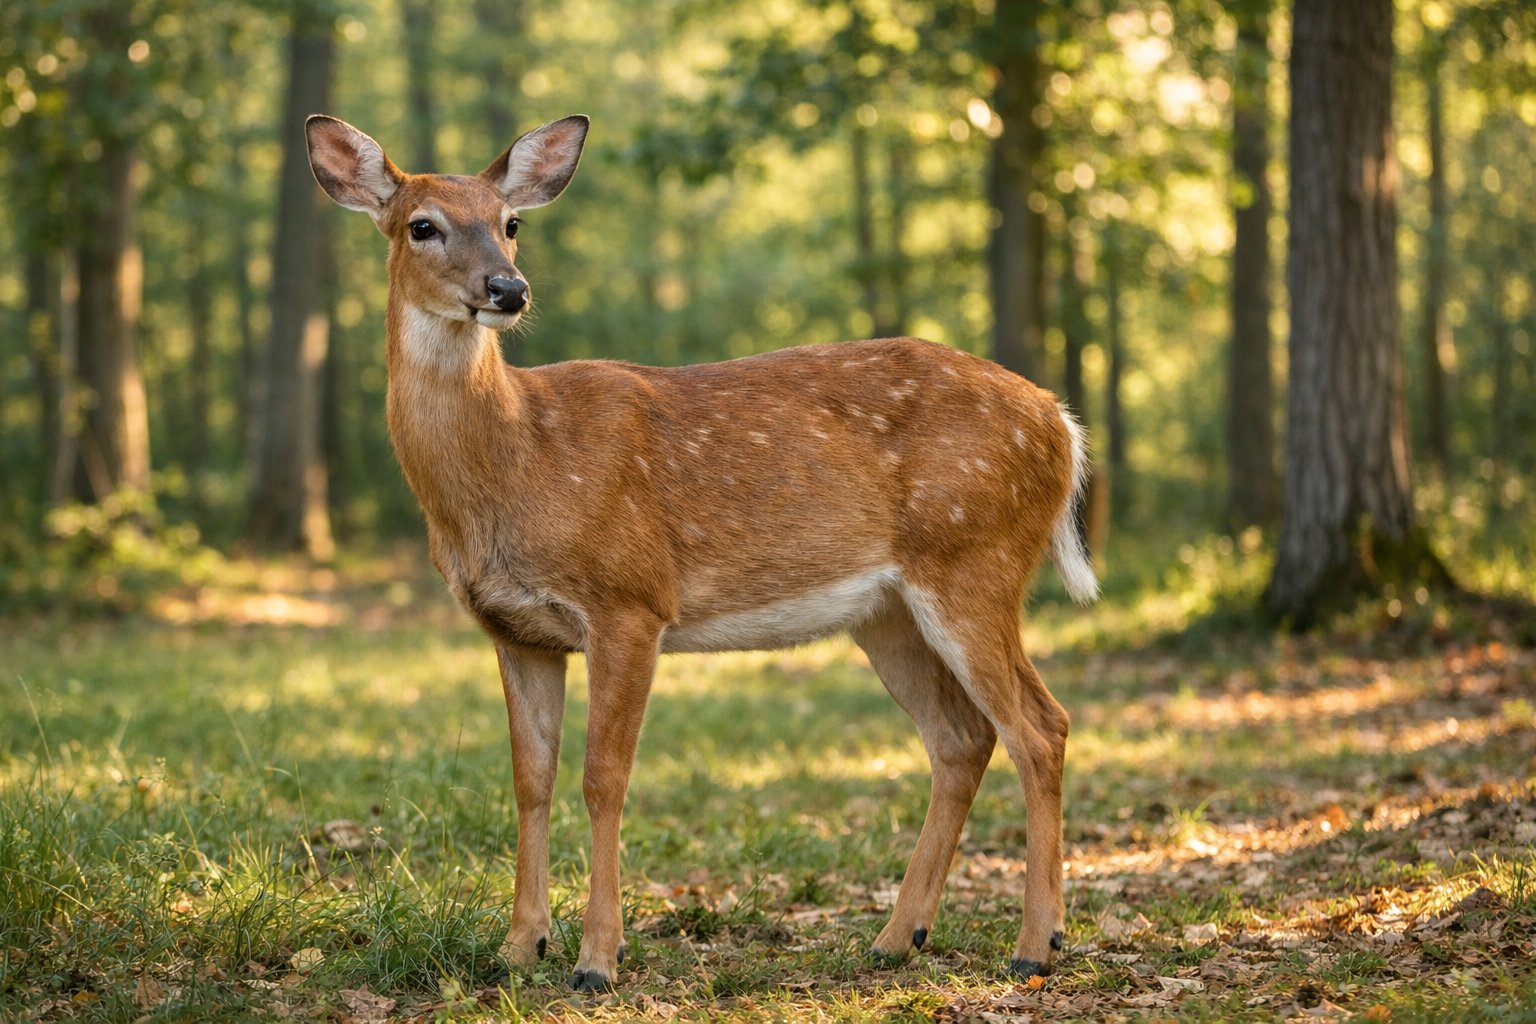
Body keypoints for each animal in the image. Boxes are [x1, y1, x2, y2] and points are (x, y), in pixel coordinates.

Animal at [305, 112, 1097, 993]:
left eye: (511, 224)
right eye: (422, 225)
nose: (508, 290)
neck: (519, 460)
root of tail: (1060, 424)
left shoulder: (629, 597)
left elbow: (603, 777)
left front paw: (597, 960)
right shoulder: (517, 631)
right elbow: (530, 781)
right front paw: (518, 949)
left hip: (974, 559)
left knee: (1041, 726)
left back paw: (1036, 942)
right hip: (888, 610)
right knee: (962, 740)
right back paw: (897, 937)